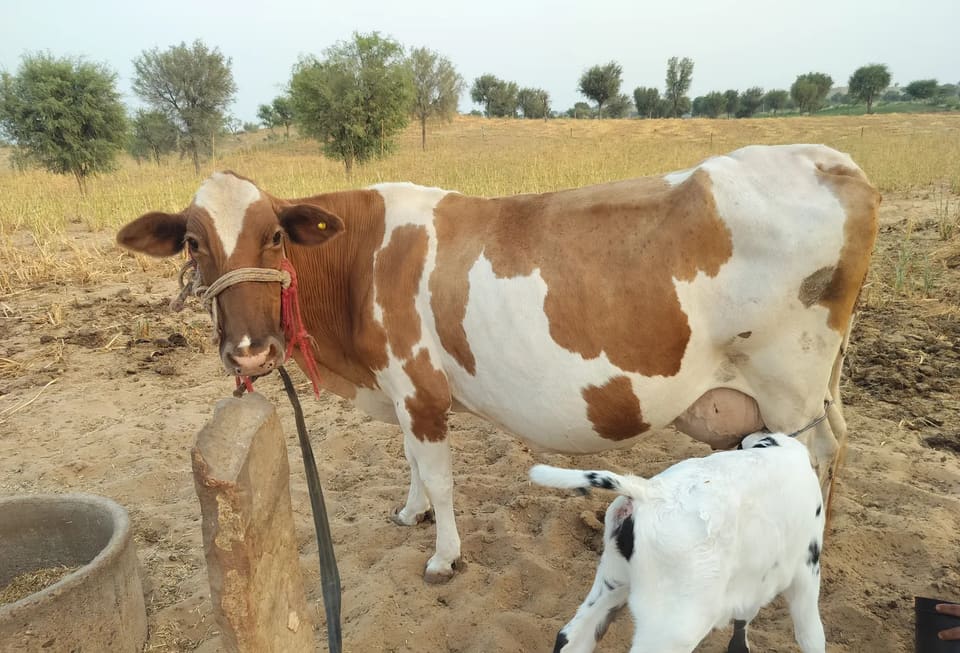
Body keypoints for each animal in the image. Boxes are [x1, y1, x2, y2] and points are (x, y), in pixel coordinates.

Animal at [116, 143, 879, 583]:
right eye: (192, 243)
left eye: (274, 235)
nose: (250, 350)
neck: (362, 262)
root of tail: (831, 160)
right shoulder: (401, 389)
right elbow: (410, 462)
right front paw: (411, 512)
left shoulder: (418, 388)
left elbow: (439, 474)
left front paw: (443, 553)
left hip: (790, 387)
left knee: (818, 456)